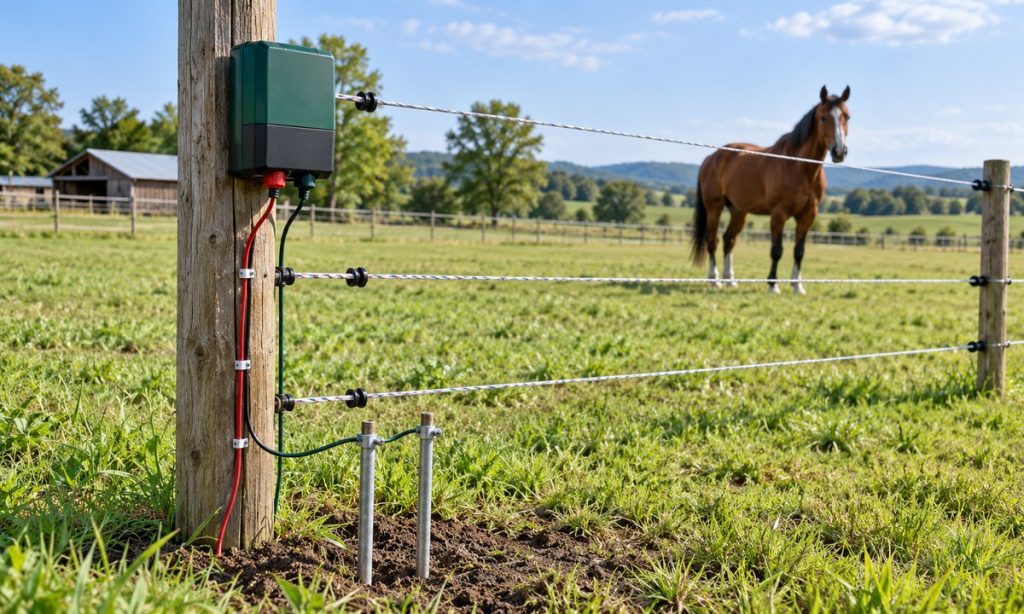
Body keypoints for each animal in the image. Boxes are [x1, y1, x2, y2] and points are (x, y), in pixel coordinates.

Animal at [690, 85, 850, 294]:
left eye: (847, 117)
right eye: (823, 117)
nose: (839, 151)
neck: (799, 167)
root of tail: (711, 158)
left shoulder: (808, 215)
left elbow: (799, 251)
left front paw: (797, 286)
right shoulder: (778, 214)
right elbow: (776, 250)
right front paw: (773, 285)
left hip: (738, 211)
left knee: (728, 240)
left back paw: (730, 280)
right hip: (714, 208)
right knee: (712, 241)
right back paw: (714, 280)